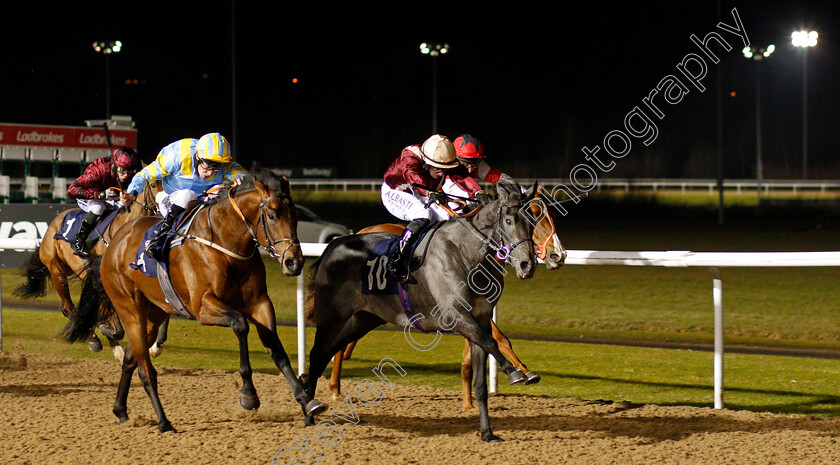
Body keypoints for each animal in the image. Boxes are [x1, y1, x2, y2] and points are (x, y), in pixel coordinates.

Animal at [13, 179, 163, 358]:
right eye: (153, 185)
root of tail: (52, 226)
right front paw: (109, 331)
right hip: (57, 271)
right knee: (69, 308)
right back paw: (94, 338)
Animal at [65, 167, 328, 432]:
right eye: (272, 215)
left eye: (295, 216)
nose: (294, 262)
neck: (224, 243)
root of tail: (112, 246)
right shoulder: (203, 306)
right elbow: (240, 325)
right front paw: (248, 394)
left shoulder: (259, 303)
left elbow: (277, 348)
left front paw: (307, 401)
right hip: (129, 308)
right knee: (145, 369)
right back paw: (164, 422)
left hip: (154, 313)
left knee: (131, 358)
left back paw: (120, 410)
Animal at [302, 179, 540, 440]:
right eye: (508, 220)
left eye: (533, 220)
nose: (528, 265)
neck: (465, 254)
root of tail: (332, 245)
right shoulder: (457, 316)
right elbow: (491, 342)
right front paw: (515, 372)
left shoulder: (480, 319)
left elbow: (482, 379)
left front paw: (487, 433)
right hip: (332, 319)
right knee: (316, 357)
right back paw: (310, 413)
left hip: (360, 321)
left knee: (326, 355)